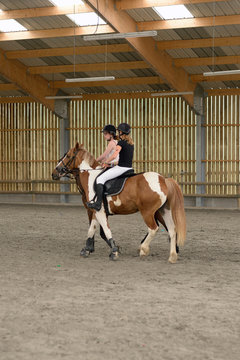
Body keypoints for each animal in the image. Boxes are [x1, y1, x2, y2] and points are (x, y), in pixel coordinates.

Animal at [52, 142, 187, 262]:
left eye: (68, 156)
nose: (55, 172)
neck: (92, 178)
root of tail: (163, 179)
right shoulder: (96, 211)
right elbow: (92, 229)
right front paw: (87, 250)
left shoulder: (99, 211)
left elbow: (105, 231)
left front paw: (114, 252)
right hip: (164, 211)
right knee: (172, 229)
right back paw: (172, 255)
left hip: (148, 212)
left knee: (154, 228)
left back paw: (143, 249)